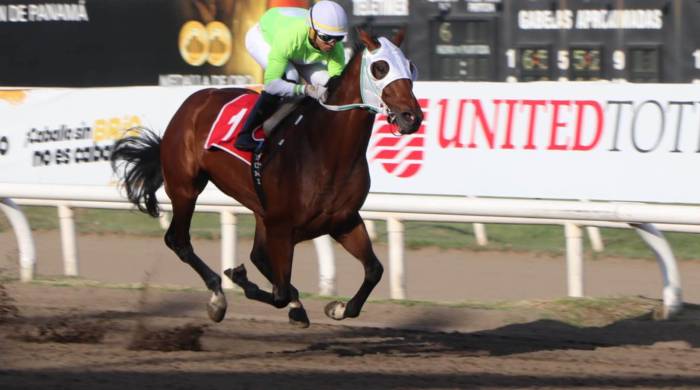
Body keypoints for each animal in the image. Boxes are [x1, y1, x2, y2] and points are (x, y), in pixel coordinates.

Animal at [112, 28, 424, 326]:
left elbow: (374, 270)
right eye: (380, 67)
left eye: (410, 65)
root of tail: (193, 101)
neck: (325, 146)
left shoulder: (342, 221)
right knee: (178, 240)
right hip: (185, 187)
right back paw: (217, 297)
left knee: (257, 256)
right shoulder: (281, 227)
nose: (412, 117)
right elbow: (280, 293)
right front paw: (241, 281)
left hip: (259, 209)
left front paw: (337, 308)